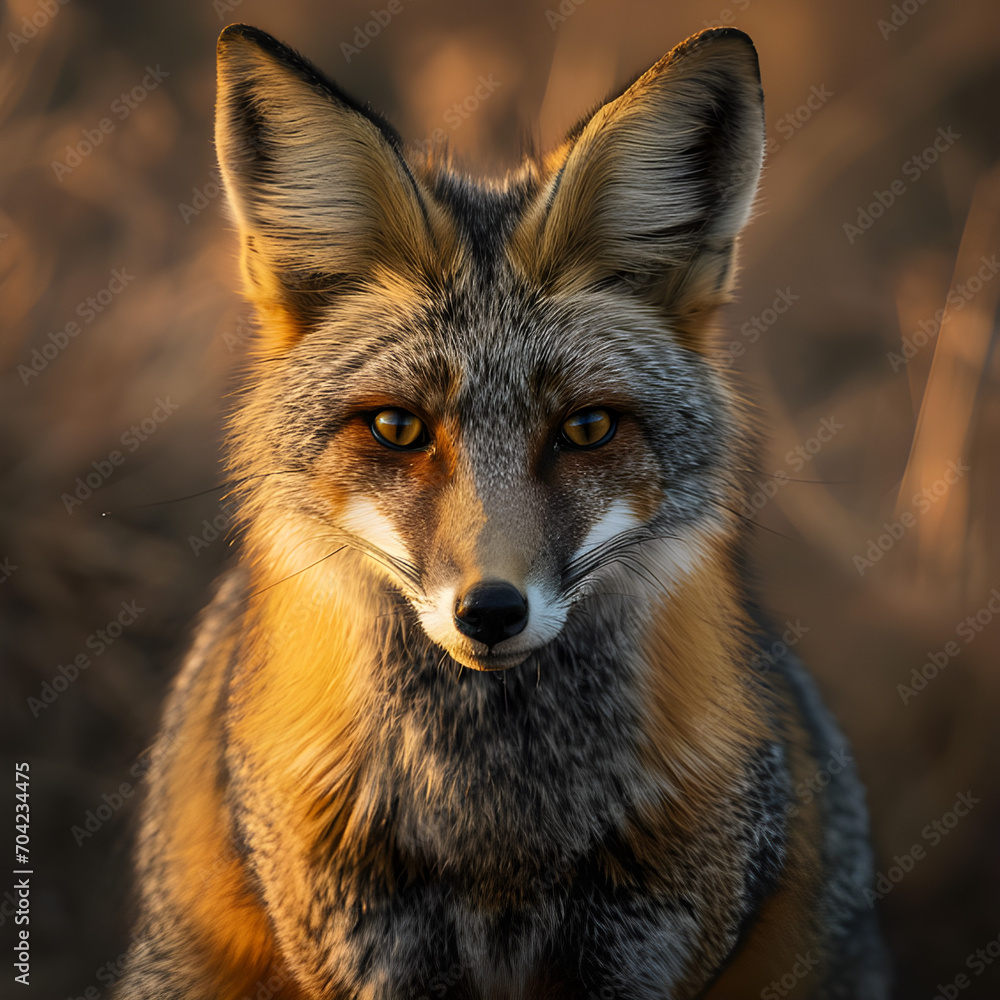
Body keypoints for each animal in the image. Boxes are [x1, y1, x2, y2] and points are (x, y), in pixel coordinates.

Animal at [117, 21, 892, 1000]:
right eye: (399, 427)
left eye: (587, 428)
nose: (490, 610)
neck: (495, 842)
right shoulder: (375, 953)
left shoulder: (642, 949)